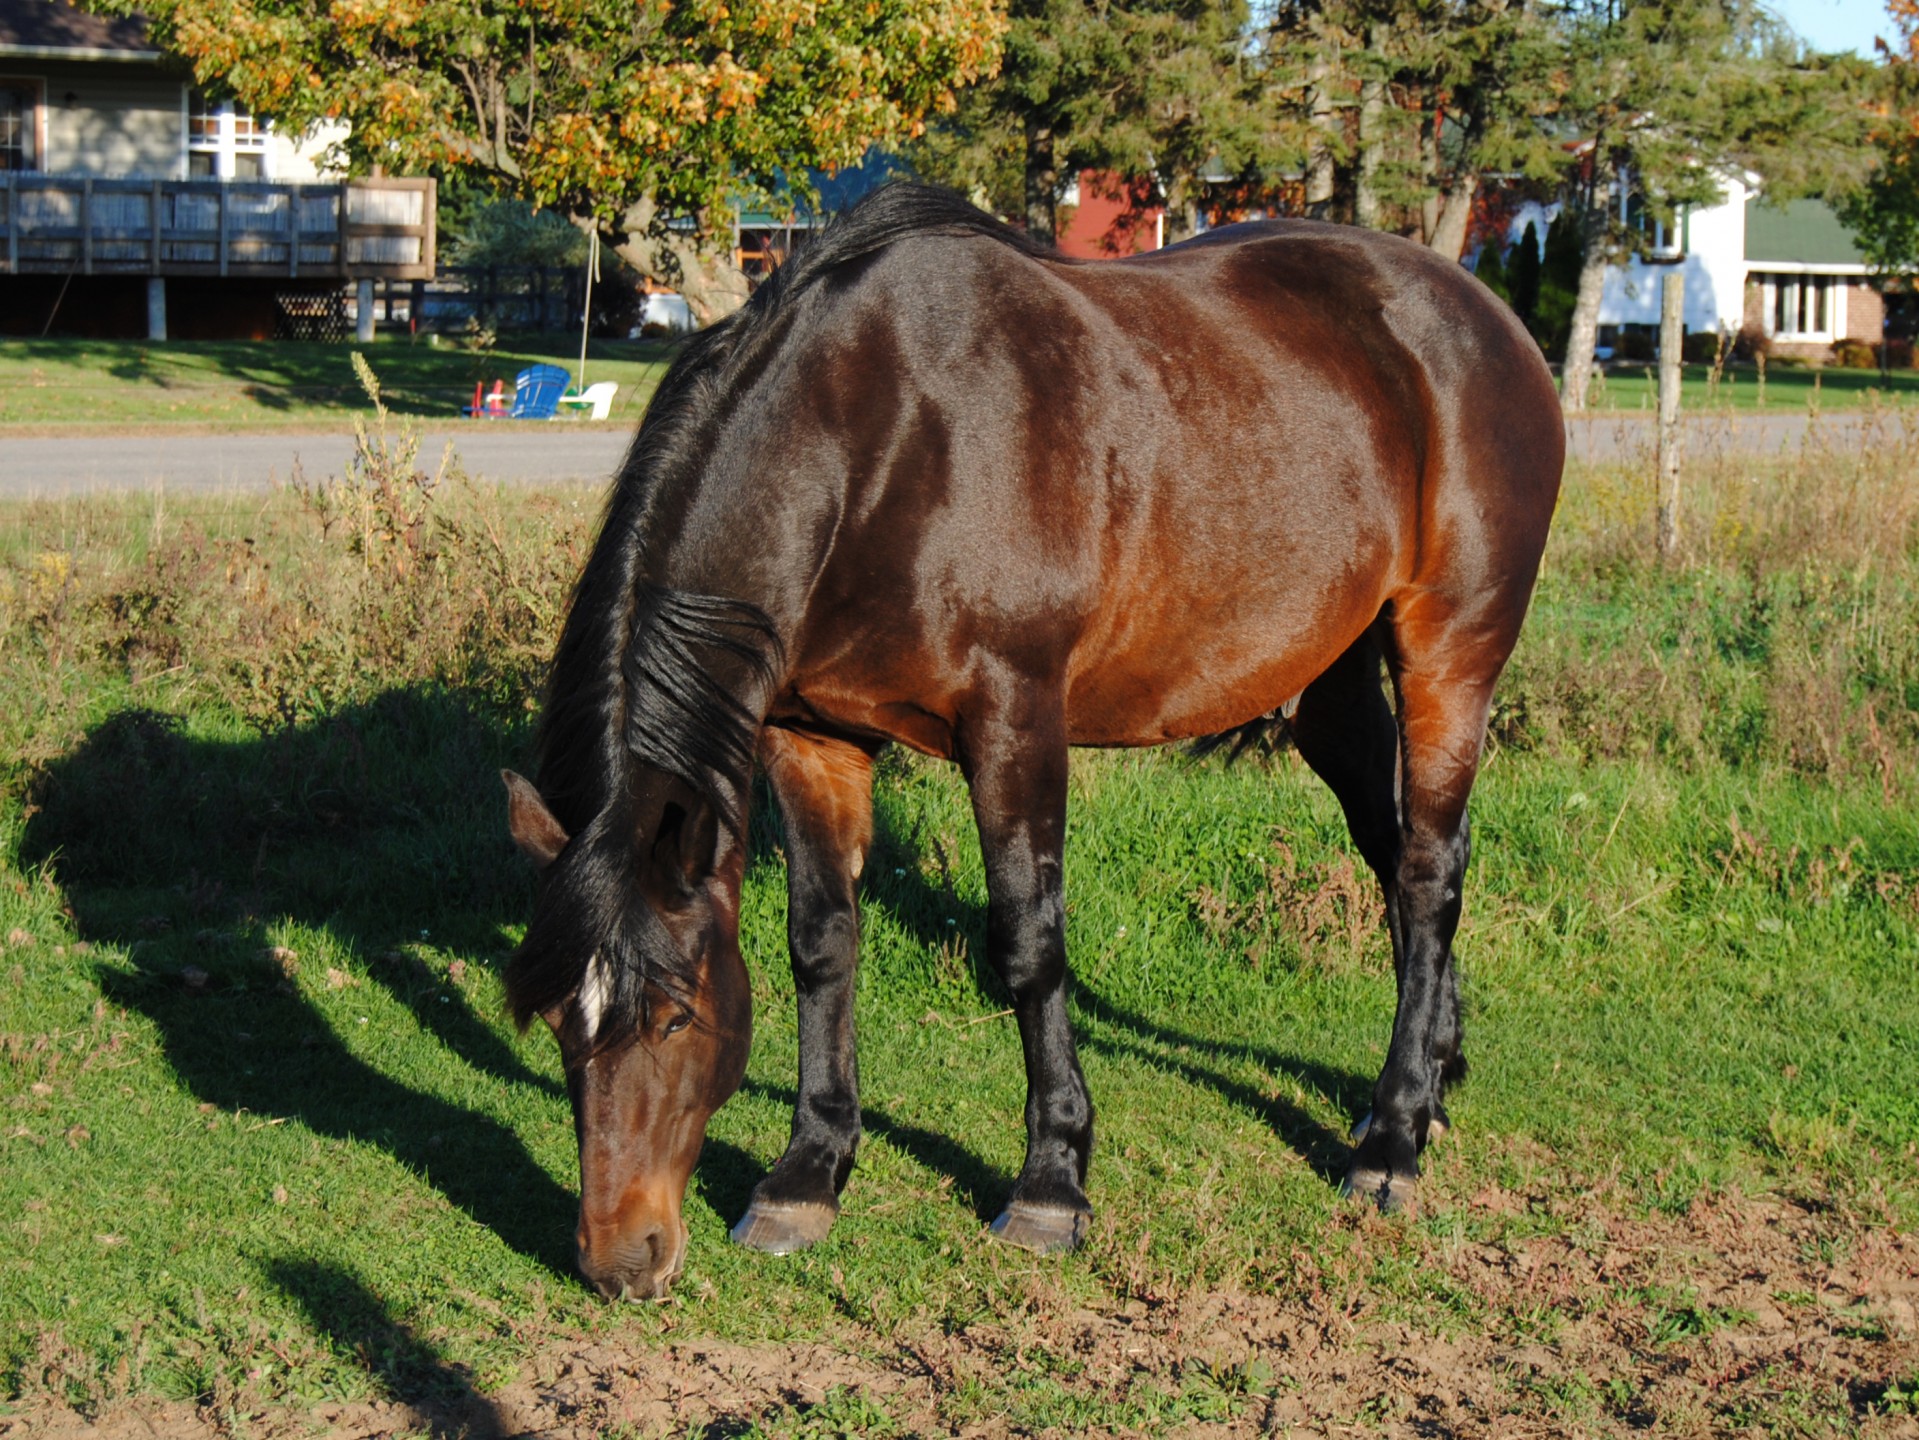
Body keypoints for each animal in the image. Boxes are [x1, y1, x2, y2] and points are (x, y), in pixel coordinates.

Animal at [502, 183, 1565, 1305]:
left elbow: (1026, 942)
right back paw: (1428, 1081)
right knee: (1394, 851)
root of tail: (1476, 311)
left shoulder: (1013, 720)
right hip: (1329, 682)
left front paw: (1051, 1181)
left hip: (1450, 649)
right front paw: (806, 1172)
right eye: (558, 1023)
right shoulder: (808, 737)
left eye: (672, 1017)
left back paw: (1392, 1141)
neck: (876, 440)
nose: (619, 1259)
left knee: (1428, 870)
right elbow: (820, 940)